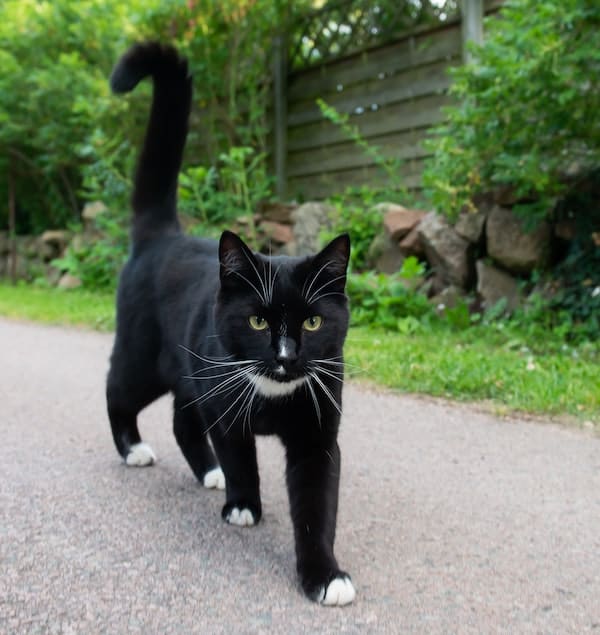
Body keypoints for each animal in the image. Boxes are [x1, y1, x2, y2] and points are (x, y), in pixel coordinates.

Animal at [106, 42, 356, 608]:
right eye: (258, 319)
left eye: (313, 321)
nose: (286, 356)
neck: (273, 395)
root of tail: (162, 235)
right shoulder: (224, 405)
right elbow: (240, 454)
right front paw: (244, 504)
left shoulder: (317, 433)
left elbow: (317, 506)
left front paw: (324, 575)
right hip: (144, 355)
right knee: (116, 390)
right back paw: (134, 450)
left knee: (182, 420)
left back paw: (208, 472)